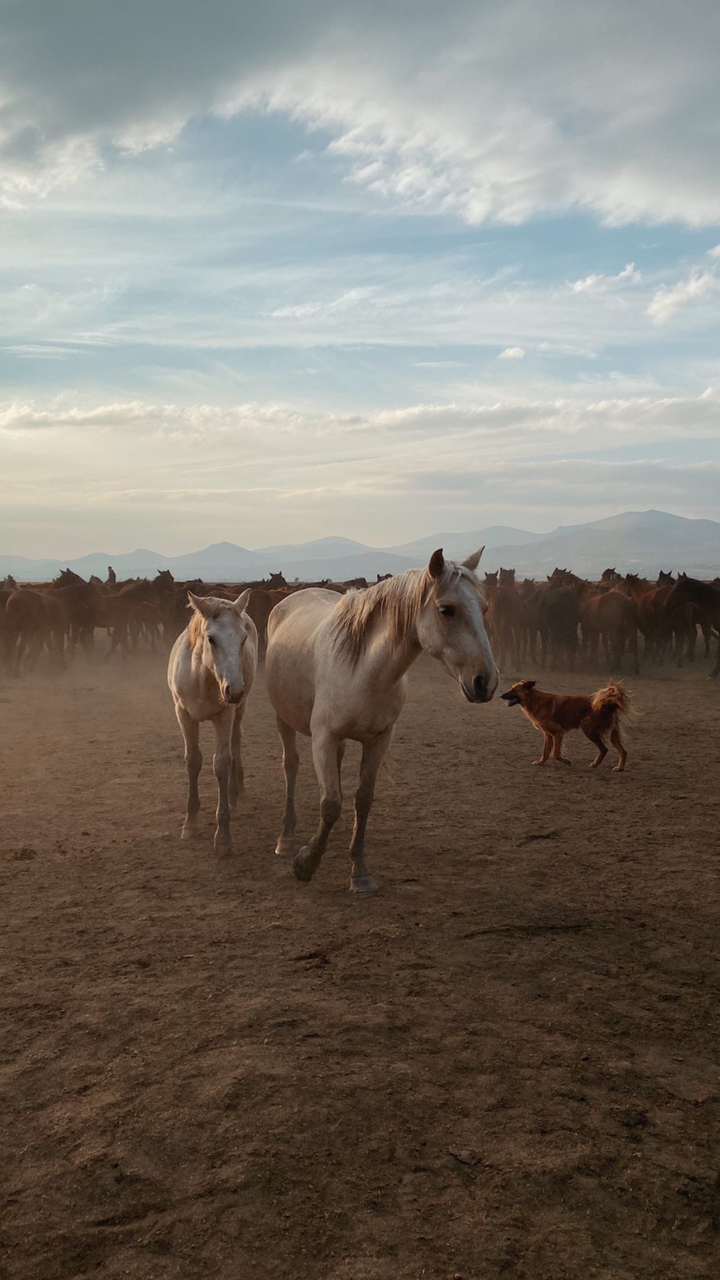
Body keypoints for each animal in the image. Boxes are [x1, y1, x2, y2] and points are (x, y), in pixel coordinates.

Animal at [167, 591, 258, 852]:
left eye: (243, 638)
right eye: (211, 639)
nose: (234, 691)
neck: (202, 678)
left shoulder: (224, 716)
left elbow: (222, 763)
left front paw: (223, 836)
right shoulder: (183, 714)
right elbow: (193, 760)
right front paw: (190, 823)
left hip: (239, 710)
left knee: (235, 743)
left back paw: (236, 793)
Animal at [265, 548, 497, 894]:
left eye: (484, 607)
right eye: (447, 609)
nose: (486, 682)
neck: (365, 670)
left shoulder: (379, 739)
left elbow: (362, 800)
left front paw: (359, 872)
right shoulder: (323, 738)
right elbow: (330, 803)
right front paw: (306, 863)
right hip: (284, 719)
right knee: (290, 767)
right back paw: (286, 839)